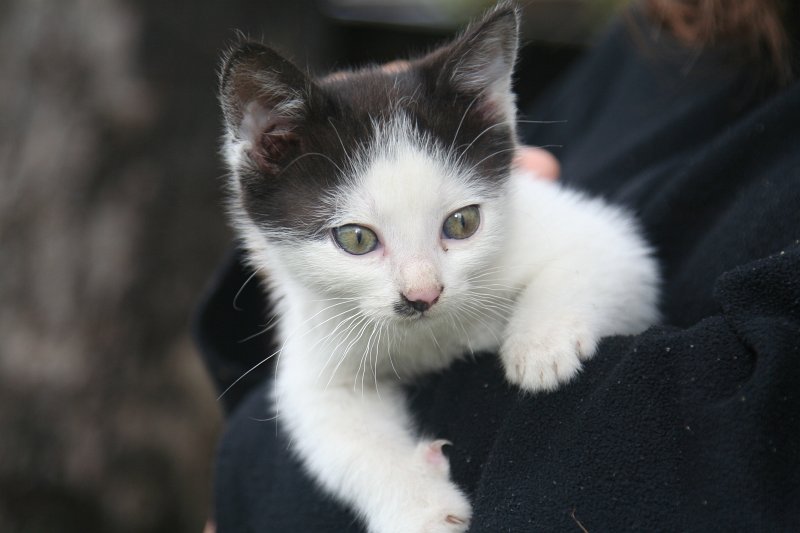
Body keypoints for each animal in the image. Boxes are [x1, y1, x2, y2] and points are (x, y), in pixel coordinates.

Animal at [217, 5, 656, 532]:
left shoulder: (602, 236)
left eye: (462, 223)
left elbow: (603, 256)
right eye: (356, 238)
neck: (428, 340)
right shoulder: (316, 348)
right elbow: (339, 425)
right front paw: (421, 509)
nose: (422, 295)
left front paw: (541, 348)